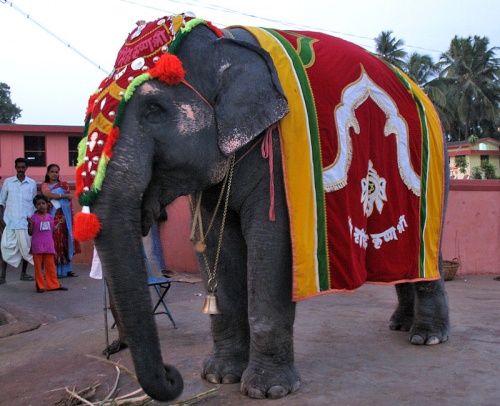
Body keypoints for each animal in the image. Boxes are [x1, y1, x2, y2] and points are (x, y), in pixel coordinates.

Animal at [74, 14, 450, 401]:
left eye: (154, 109)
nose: (172, 374)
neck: (222, 41)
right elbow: (213, 248)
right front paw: (219, 377)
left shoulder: (282, 164)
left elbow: (272, 247)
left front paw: (267, 390)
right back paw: (399, 324)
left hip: (434, 173)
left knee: (427, 252)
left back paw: (427, 337)